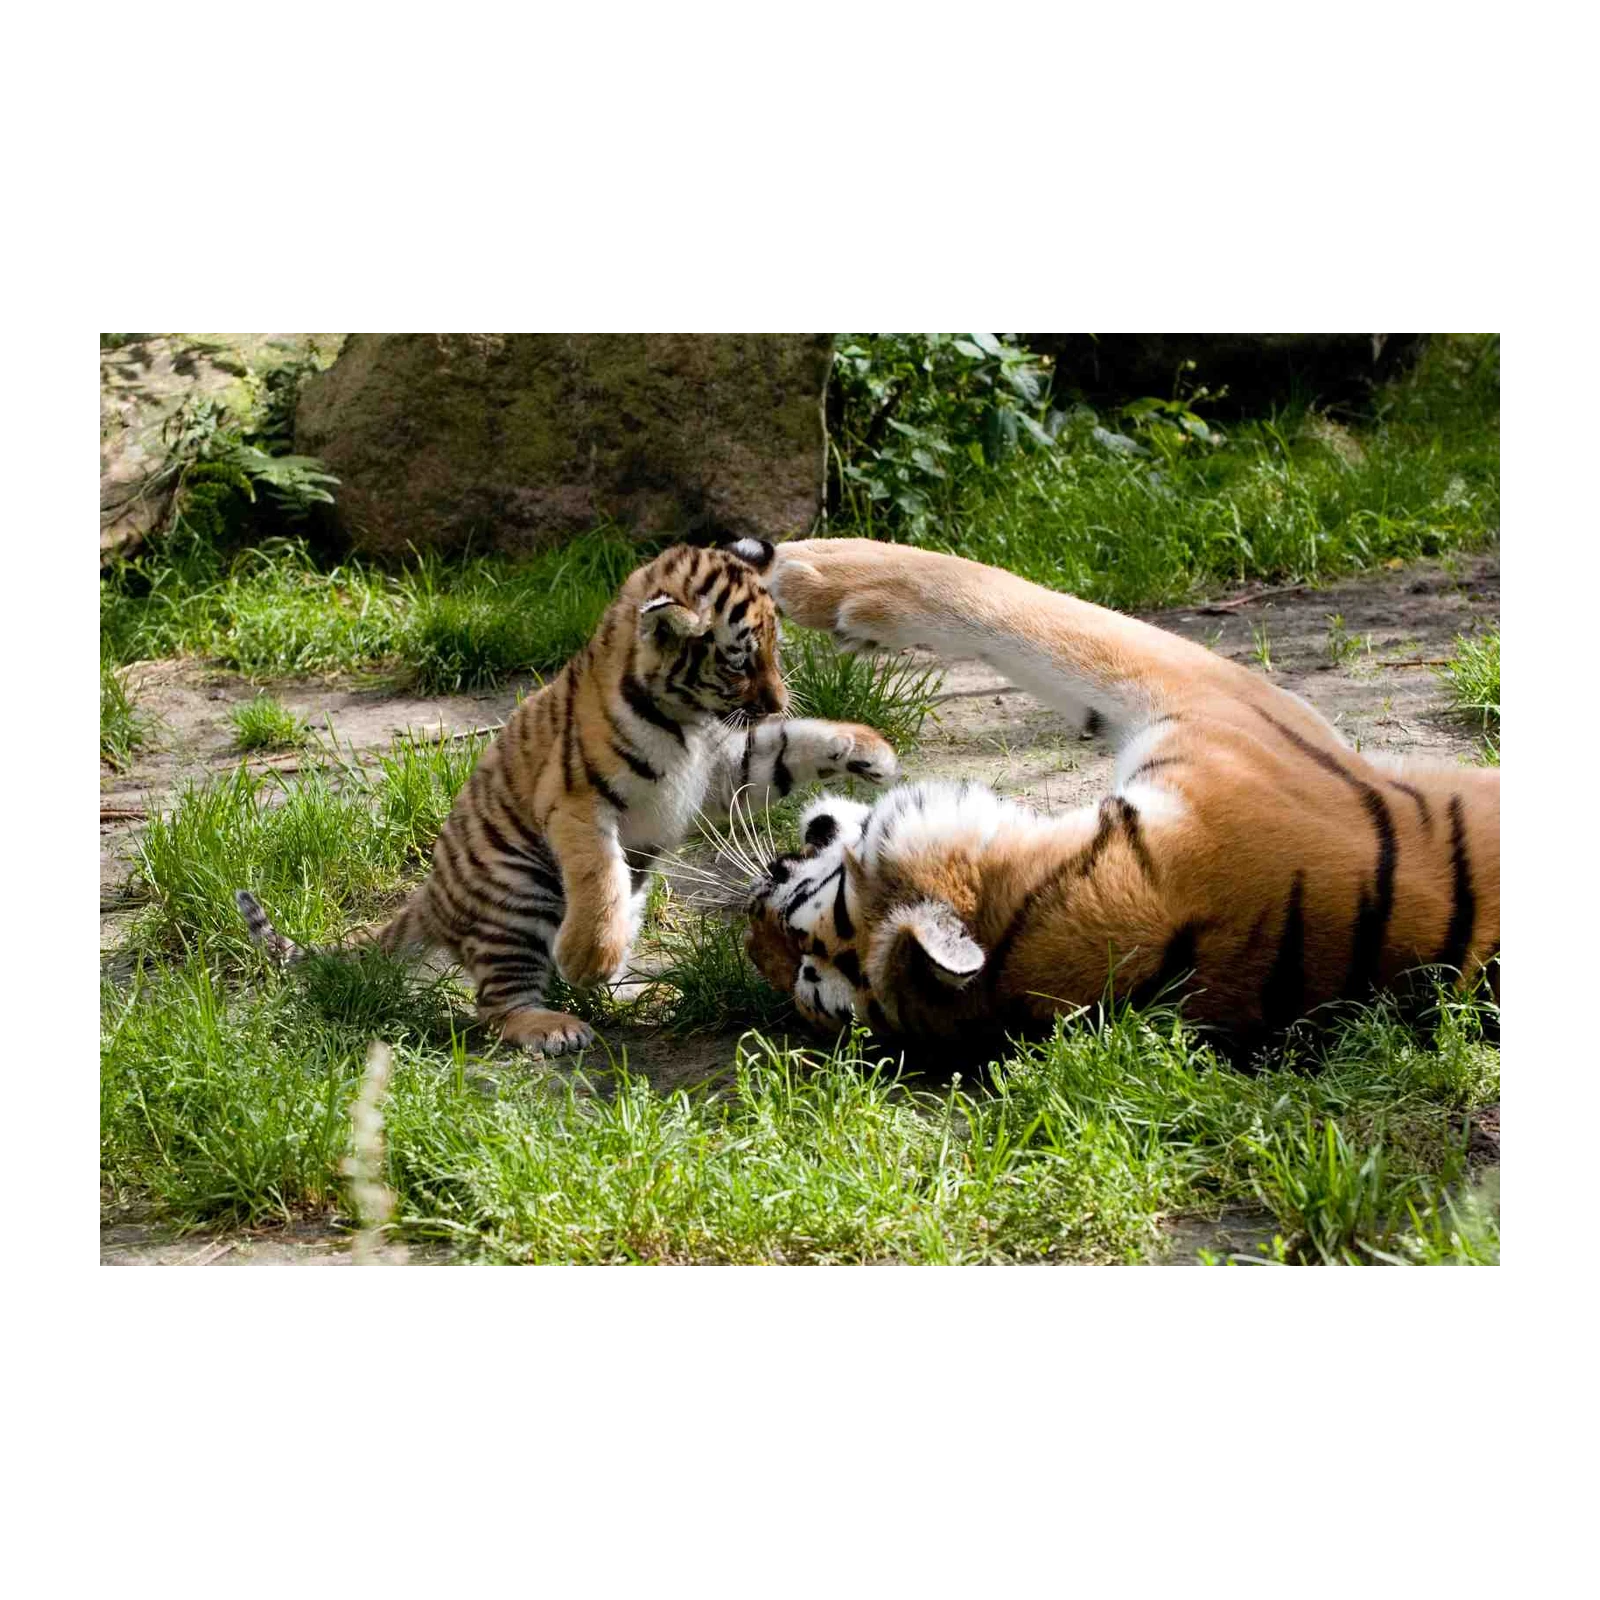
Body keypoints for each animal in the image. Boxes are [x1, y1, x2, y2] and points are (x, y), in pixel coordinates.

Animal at [236, 538, 898, 1057]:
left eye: (776, 650)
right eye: (739, 664)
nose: (778, 700)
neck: (685, 718)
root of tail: (430, 897)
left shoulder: (725, 769)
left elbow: (789, 745)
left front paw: (872, 751)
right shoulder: (579, 802)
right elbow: (598, 875)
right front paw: (587, 957)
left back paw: (638, 988)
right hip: (517, 896)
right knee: (496, 1004)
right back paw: (554, 1023)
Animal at [738, 538, 1502, 1062]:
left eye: (800, 940)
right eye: (799, 970)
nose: (758, 890)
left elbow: (1015, 607)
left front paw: (792, 567)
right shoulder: (1223, 707)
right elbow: (1021, 609)